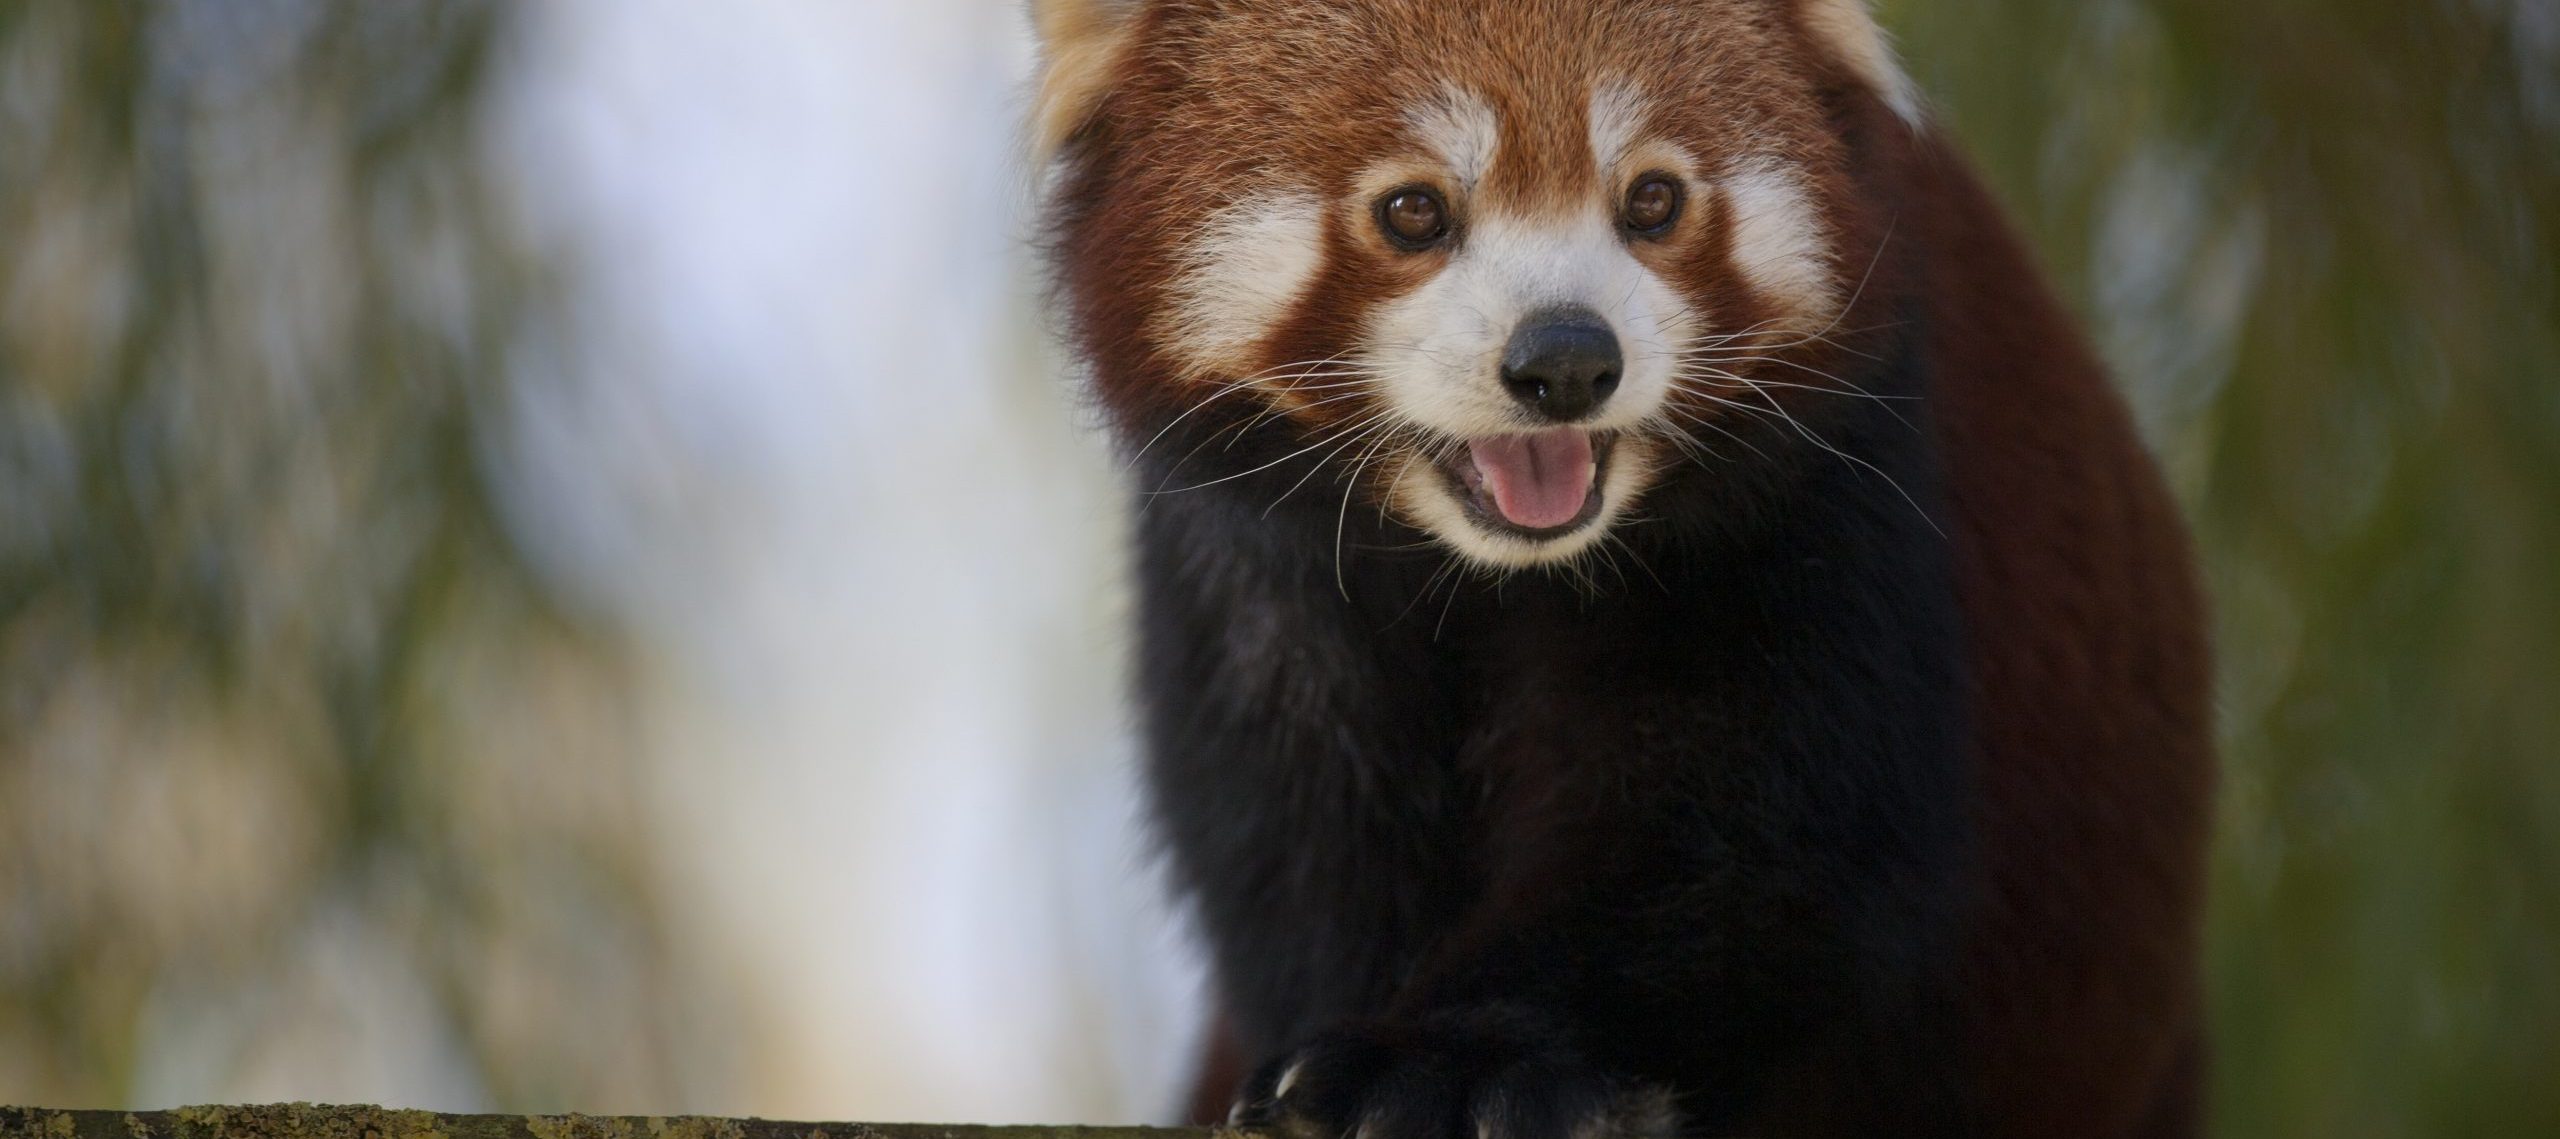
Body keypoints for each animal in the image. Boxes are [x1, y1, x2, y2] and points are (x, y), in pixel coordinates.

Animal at [1029, 4, 2211, 1131]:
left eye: (1650, 200)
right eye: (1414, 211)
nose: (1566, 361)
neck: (1498, 570)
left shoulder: (1834, 490)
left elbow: (1744, 838)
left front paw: (1458, 1054)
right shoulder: (1262, 579)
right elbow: (1306, 849)